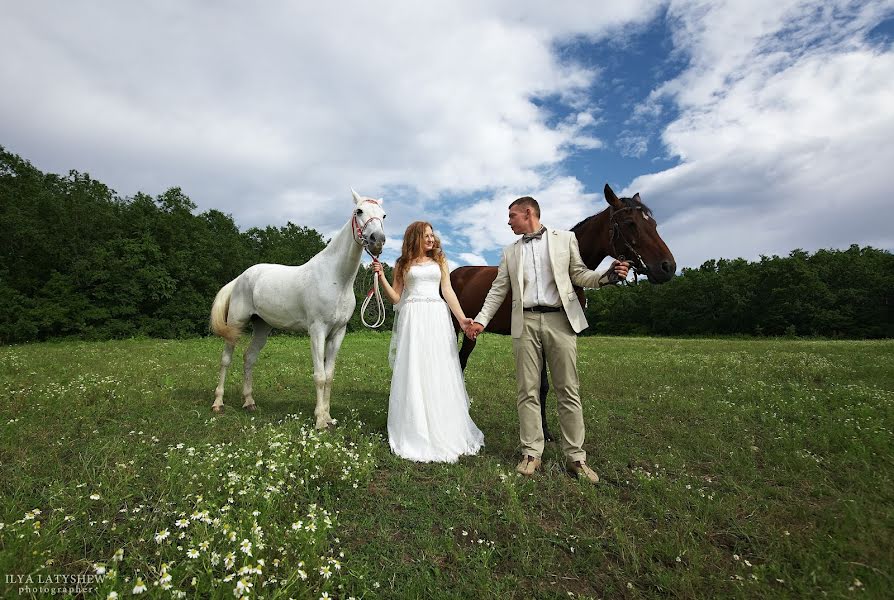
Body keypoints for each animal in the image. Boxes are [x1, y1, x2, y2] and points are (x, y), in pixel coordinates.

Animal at [214, 190, 388, 428]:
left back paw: (249, 402)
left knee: (249, 357)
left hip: (262, 327)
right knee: (226, 360)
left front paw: (328, 417)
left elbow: (329, 375)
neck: (336, 279)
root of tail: (241, 278)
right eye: (359, 211)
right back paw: (218, 403)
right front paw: (320, 421)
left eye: (384, 215)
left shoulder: (338, 333)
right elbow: (319, 376)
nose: (377, 240)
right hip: (235, 323)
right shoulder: (317, 331)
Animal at [452, 183, 676, 440]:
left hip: (471, 332)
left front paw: (545, 431)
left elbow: (544, 385)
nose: (668, 267)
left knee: (461, 360)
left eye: (654, 223)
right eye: (630, 223)